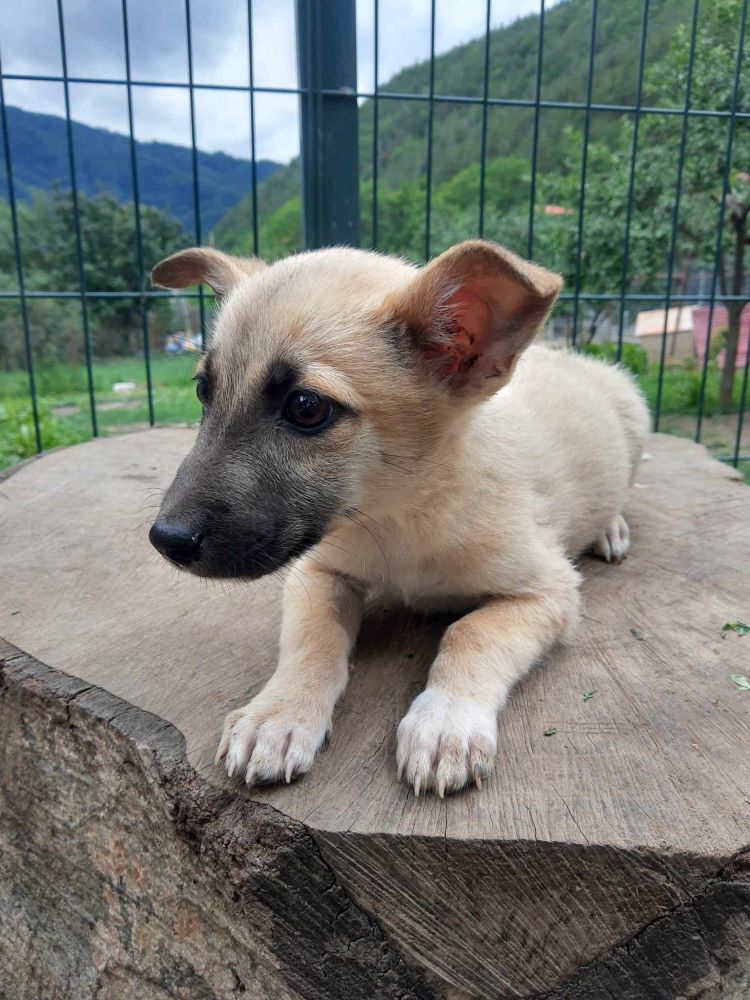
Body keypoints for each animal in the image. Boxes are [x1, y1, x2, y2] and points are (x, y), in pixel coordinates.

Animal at [150, 242, 648, 796]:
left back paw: (611, 528)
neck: (400, 514)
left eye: (306, 407)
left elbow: (471, 634)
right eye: (203, 391)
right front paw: (276, 716)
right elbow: (312, 639)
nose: (165, 540)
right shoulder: (317, 571)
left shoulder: (549, 590)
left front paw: (445, 720)